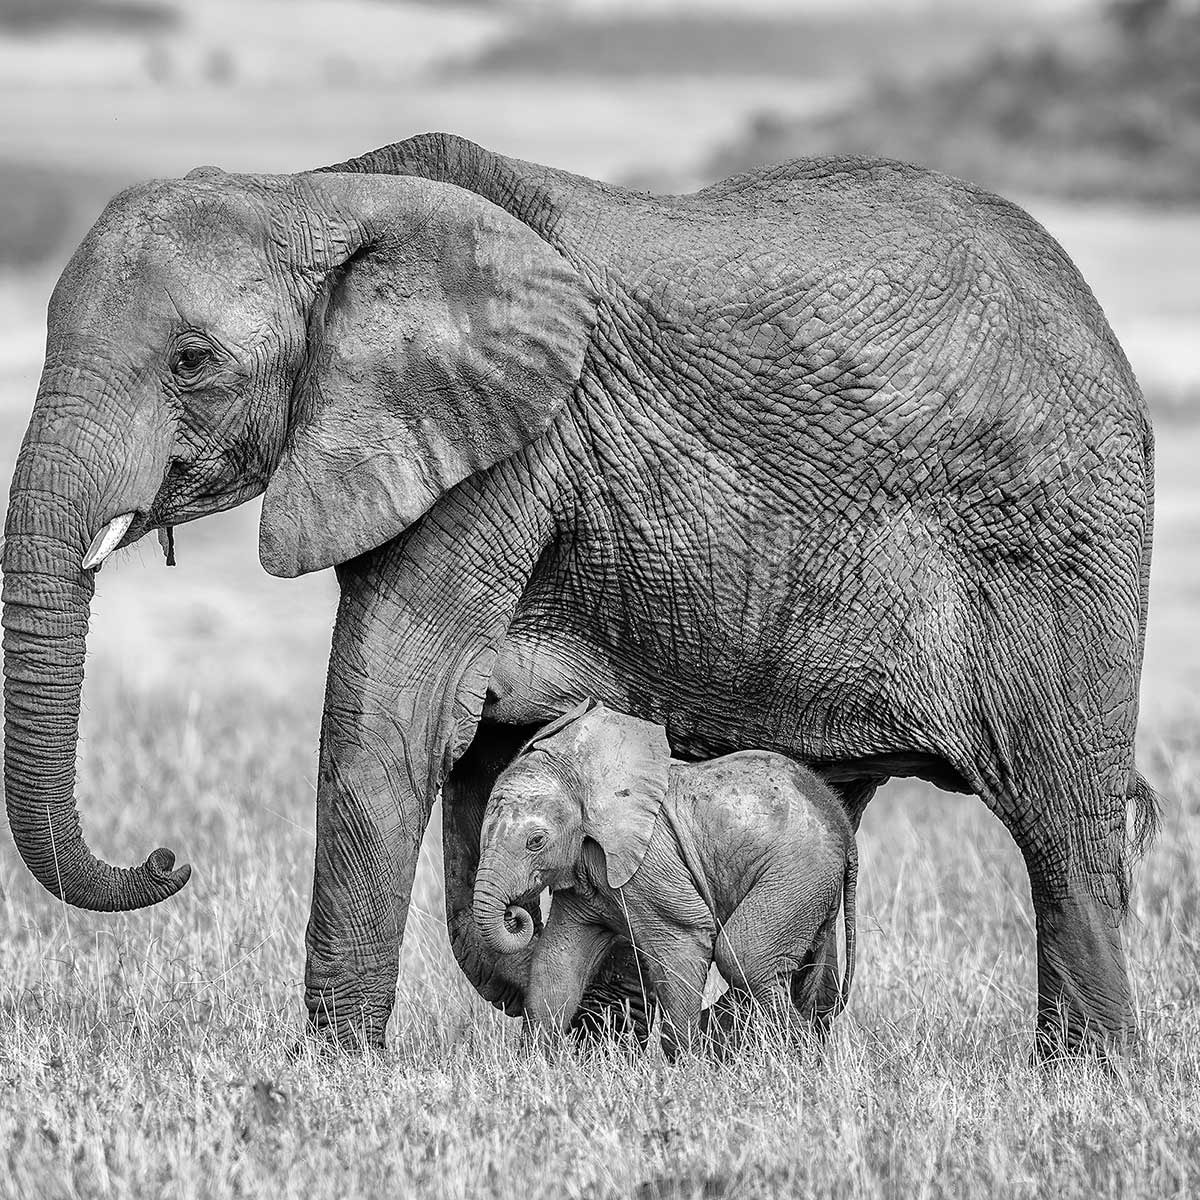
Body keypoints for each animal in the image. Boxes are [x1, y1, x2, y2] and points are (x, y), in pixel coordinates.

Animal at [472, 700, 858, 1051]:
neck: (585, 778)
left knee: (744, 956)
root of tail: (841, 819)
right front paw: (535, 1064)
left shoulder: (652, 865)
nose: (514, 913)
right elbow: (557, 961)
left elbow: (682, 944)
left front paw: (687, 1068)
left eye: (535, 841)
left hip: (798, 867)